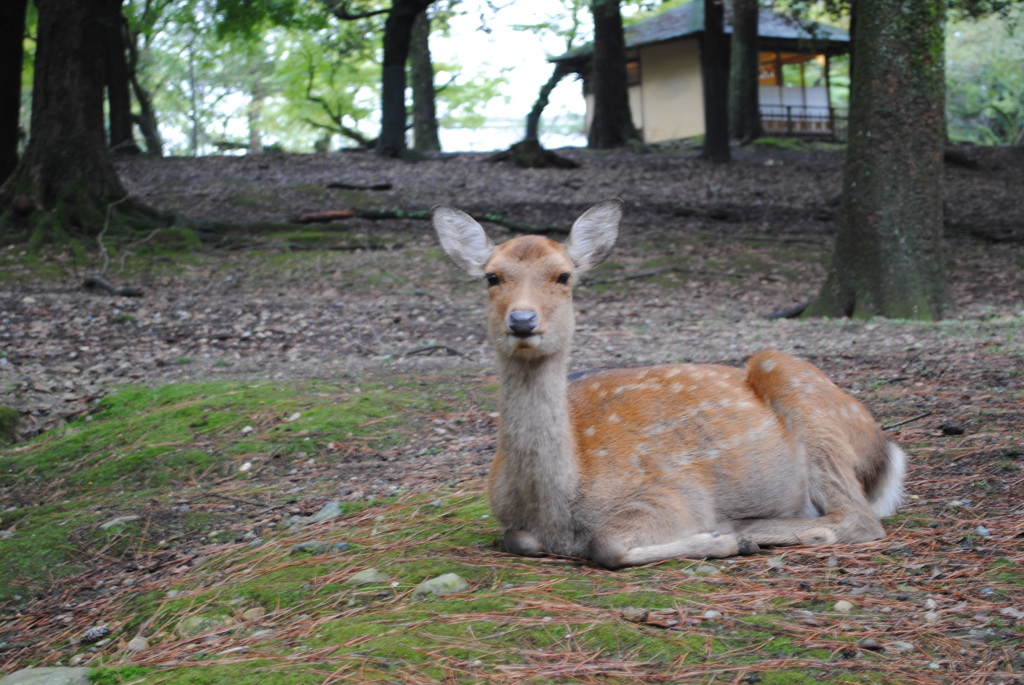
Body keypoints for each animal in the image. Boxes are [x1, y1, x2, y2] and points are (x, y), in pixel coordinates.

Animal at [430, 198, 905, 573]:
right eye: (492, 276)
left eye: (563, 276)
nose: (523, 320)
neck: (556, 508)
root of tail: (885, 451)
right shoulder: (510, 520)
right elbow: (515, 538)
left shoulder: (673, 492)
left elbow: (605, 544)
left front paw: (719, 540)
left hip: (802, 394)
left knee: (860, 519)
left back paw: (740, 530)